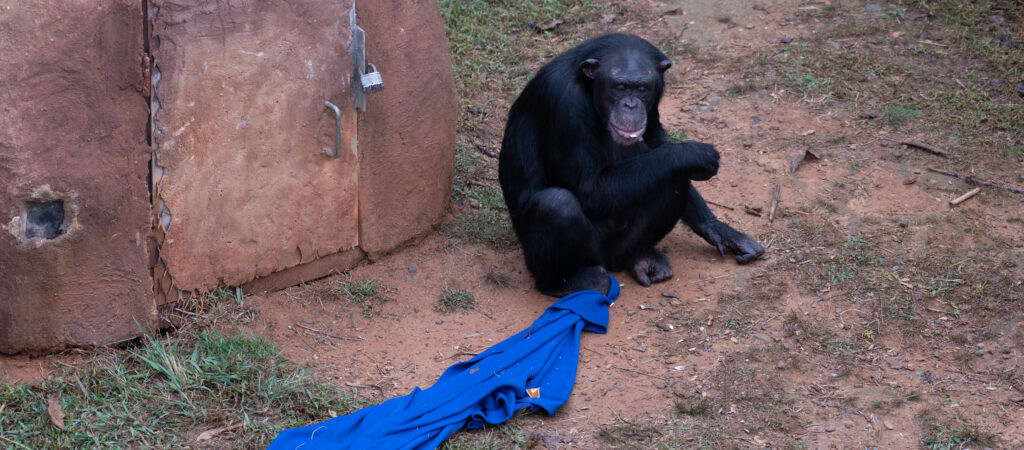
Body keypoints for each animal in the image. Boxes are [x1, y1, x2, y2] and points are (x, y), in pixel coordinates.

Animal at [499, 33, 765, 297]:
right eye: (619, 86)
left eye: (642, 88)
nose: (630, 105)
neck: (587, 86)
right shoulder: (564, 101)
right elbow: (586, 187)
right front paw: (692, 153)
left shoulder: (656, 96)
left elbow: (656, 141)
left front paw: (717, 228)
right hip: (570, 255)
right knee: (556, 204)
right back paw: (568, 283)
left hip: (618, 248)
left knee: (673, 177)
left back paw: (639, 258)